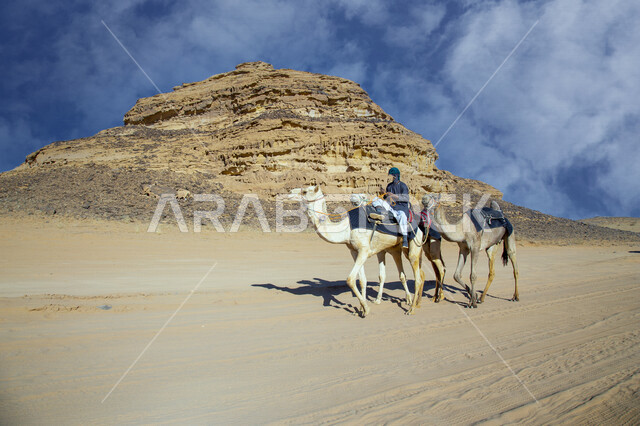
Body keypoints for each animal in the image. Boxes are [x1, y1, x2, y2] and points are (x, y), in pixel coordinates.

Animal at [288, 185, 426, 316]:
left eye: (305, 191)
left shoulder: (364, 251)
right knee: (407, 273)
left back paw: (411, 309)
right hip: (396, 248)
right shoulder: (355, 252)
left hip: (414, 245)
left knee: (417, 278)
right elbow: (362, 281)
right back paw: (411, 301)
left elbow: (350, 279)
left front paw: (366, 309)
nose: (289, 192)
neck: (347, 229)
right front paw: (360, 309)